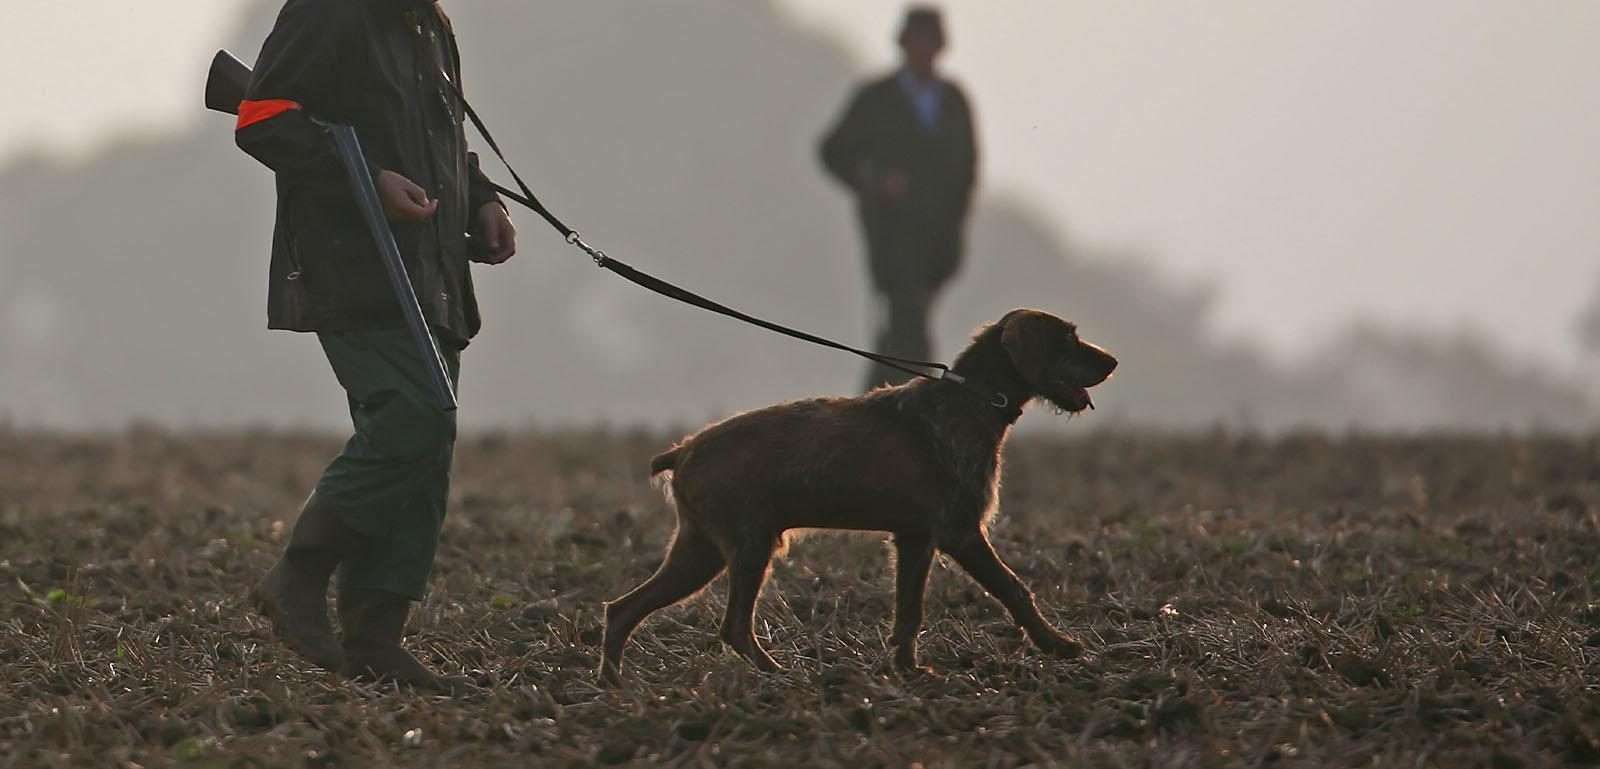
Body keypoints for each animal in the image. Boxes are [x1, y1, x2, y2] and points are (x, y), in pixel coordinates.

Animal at [601, 305, 1113, 677]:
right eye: (1067, 338)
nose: (1112, 361)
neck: (972, 399)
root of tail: (684, 450)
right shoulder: (961, 532)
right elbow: (1014, 589)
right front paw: (1057, 644)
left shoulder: (916, 539)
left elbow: (909, 610)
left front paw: (907, 670)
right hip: (748, 546)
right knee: (733, 627)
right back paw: (780, 675)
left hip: (700, 551)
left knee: (622, 609)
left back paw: (613, 683)